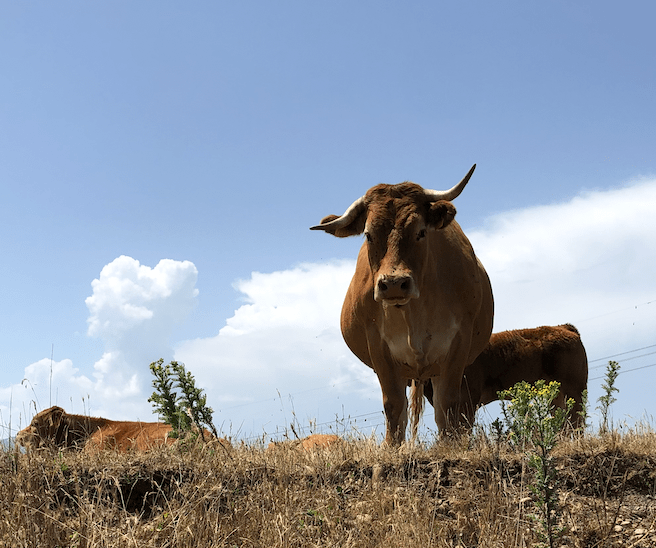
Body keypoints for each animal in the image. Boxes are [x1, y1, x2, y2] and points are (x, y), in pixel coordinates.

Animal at [311, 165, 494, 444]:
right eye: (368, 235)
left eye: (421, 231)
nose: (394, 284)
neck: (414, 312)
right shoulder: (379, 348)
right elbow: (394, 406)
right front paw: (391, 447)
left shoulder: (458, 345)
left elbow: (448, 406)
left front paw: (449, 446)